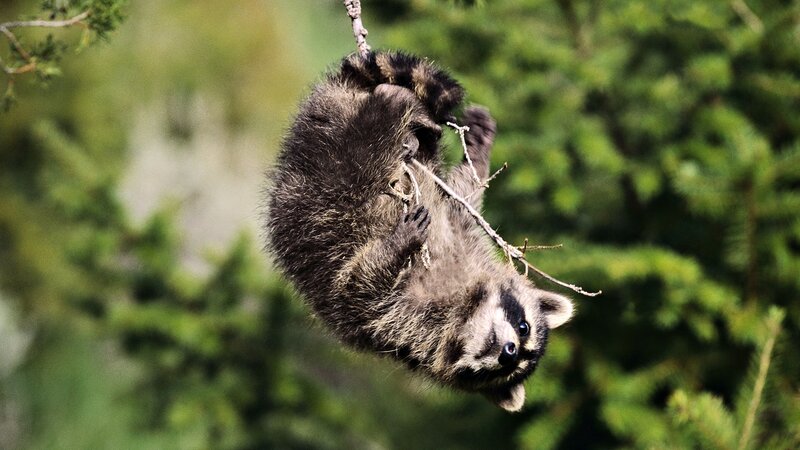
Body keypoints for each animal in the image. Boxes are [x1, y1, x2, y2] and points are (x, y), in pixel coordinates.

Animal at [265, 51, 573, 412]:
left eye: (508, 368)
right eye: (523, 328)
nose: (509, 352)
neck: (466, 310)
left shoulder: (398, 328)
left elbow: (361, 288)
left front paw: (393, 248)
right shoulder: (461, 239)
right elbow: (460, 198)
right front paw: (479, 152)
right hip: (330, 164)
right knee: (363, 153)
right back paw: (394, 105)